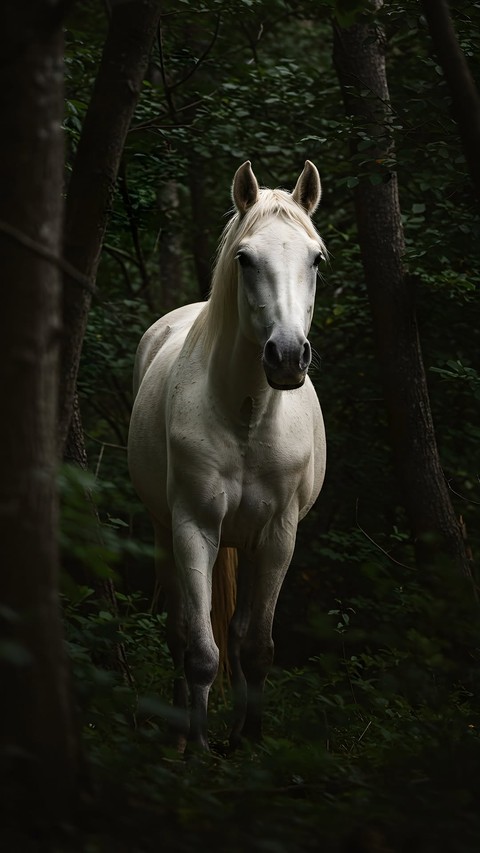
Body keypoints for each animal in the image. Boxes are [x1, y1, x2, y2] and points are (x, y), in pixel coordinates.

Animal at [127, 160, 327, 751]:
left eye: (316, 258)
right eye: (245, 258)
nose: (287, 356)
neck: (247, 414)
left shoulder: (279, 535)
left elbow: (256, 646)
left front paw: (249, 743)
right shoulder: (194, 527)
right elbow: (199, 651)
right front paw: (196, 751)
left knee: (237, 634)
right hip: (163, 529)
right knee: (179, 631)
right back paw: (178, 733)